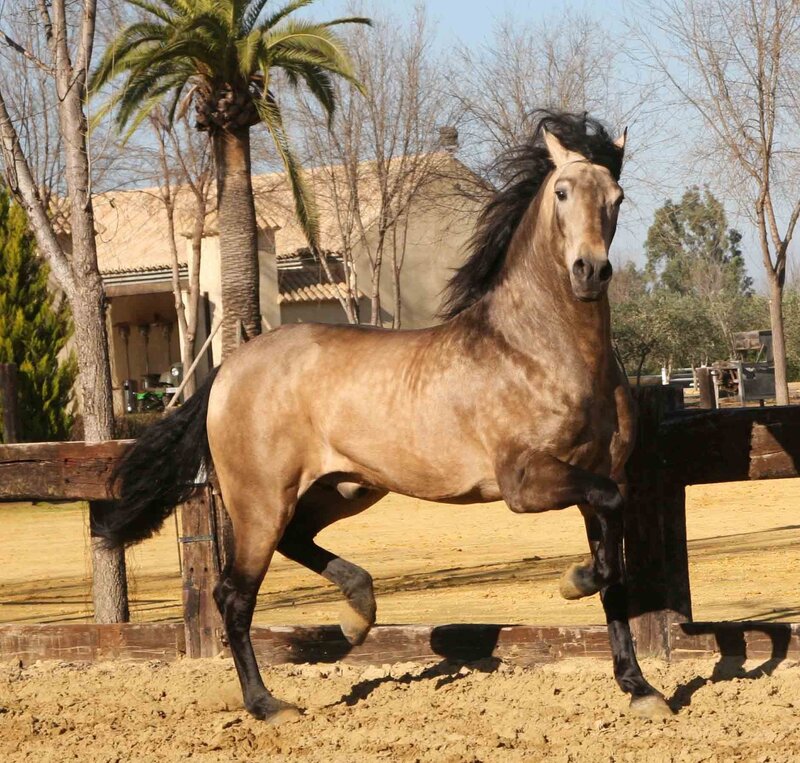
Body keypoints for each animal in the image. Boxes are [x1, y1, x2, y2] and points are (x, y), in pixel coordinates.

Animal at [102, 110, 672, 722]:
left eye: (617, 197)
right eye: (563, 192)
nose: (591, 271)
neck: (539, 352)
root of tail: (230, 368)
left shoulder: (604, 478)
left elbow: (615, 575)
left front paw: (640, 688)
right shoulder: (526, 482)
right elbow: (605, 557)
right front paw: (572, 582)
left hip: (345, 488)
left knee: (295, 541)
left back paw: (358, 614)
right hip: (260, 500)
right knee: (234, 594)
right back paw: (269, 702)